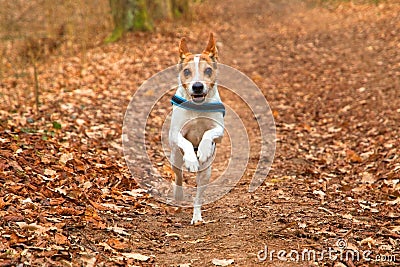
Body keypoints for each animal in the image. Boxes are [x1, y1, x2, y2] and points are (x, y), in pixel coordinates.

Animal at [169, 33, 225, 225]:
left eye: (208, 70)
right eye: (186, 72)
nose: (198, 86)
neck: (198, 106)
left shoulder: (219, 130)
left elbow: (209, 133)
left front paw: (203, 149)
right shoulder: (175, 134)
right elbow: (185, 141)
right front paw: (192, 160)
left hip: (206, 173)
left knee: (198, 196)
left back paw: (197, 216)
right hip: (175, 159)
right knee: (179, 177)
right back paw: (178, 196)